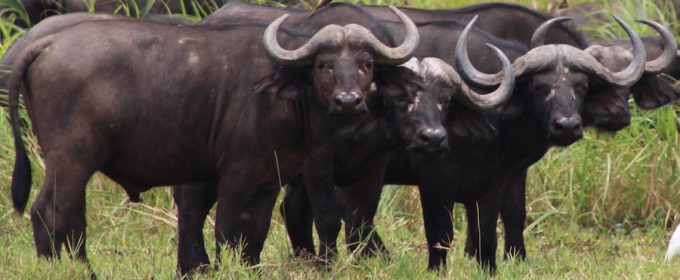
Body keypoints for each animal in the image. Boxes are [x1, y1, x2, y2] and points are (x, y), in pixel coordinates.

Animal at [6, 6, 420, 276]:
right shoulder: (236, 173)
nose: (349, 101)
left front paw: (251, 268)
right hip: (70, 159)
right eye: (324, 64)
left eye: (367, 63)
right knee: (48, 212)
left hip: (74, 163)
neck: (283, 97)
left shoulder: (269, 180)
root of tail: (48, 43)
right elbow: (228, 227)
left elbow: (255, 233)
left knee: (71, 217)